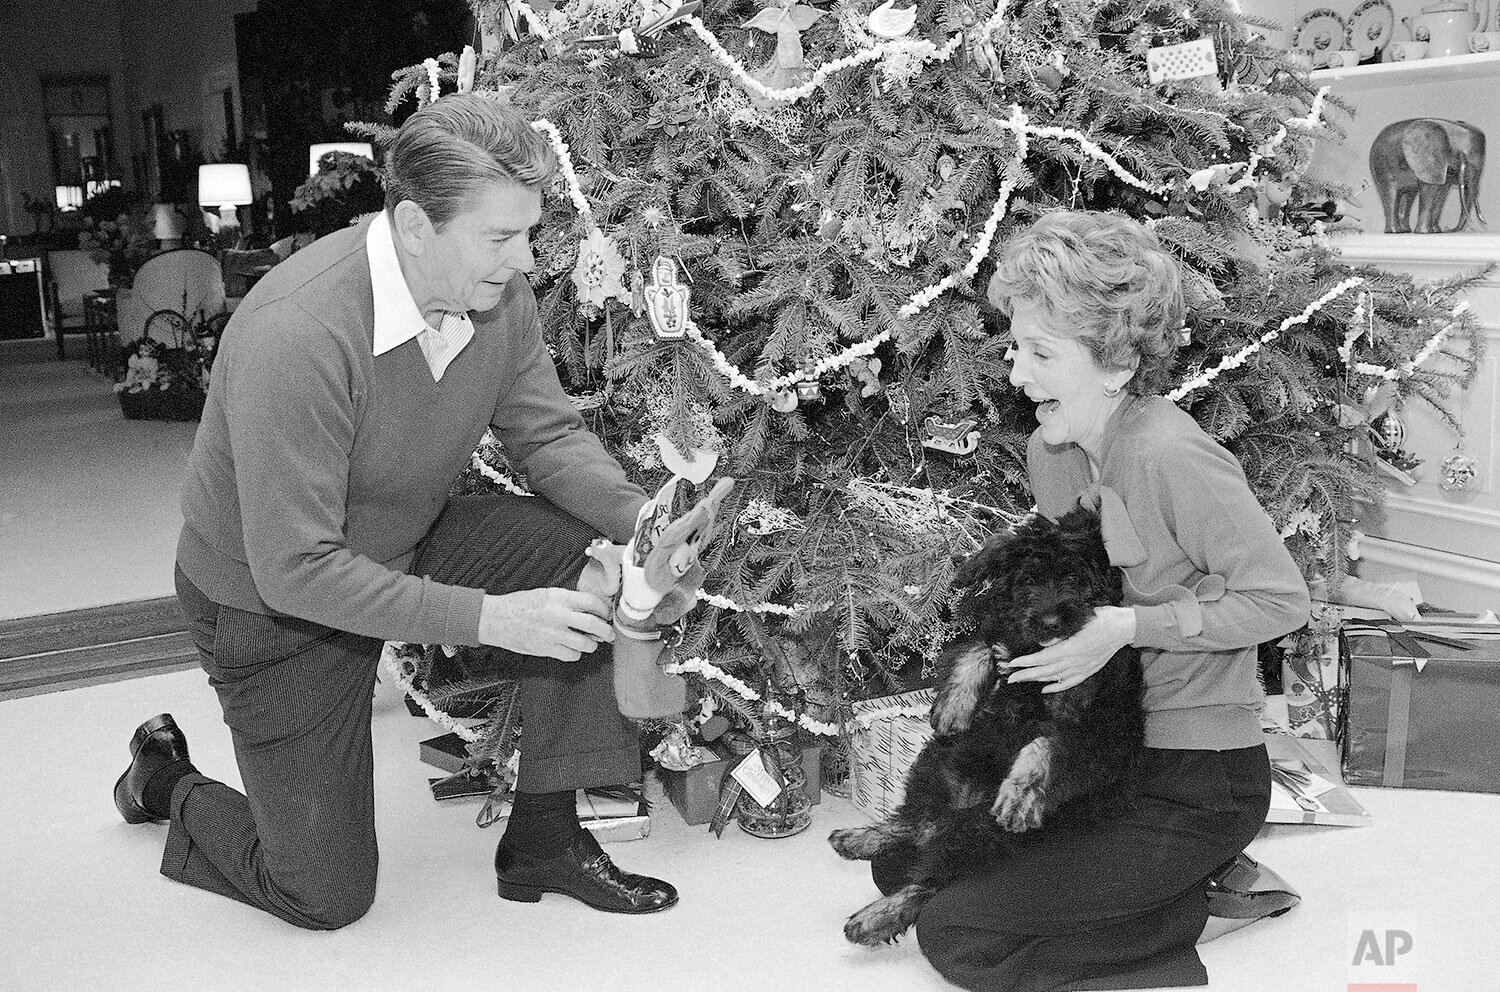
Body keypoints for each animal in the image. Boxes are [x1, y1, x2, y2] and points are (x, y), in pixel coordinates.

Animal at [828, 507, 1140, 948]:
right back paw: (861, 839)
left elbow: (1046, 743)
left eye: (1076, 579)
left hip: (981, 833)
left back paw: (875, 917)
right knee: (917, 821)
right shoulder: (1001, 634)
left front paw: (1020, 793)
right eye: (1028, 580)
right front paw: (952, 708)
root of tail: (961, 809)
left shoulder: (1094, 726)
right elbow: (976, 648)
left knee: (929, 880)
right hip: (936, 762)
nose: (1050, 622)